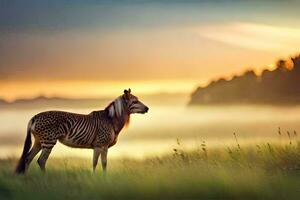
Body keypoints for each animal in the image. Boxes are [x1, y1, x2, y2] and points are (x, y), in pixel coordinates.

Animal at [15, 89, 149, 175]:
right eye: (135, 101)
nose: (147, 108)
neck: (111, 120)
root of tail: (34, 117)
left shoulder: (103, 146)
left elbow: (103, 163)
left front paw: (104, 179)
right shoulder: (100, 145)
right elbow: (96, 163)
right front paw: (95, 178)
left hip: (38, 141)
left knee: (28, 158)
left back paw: (27, 181)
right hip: (49, 141)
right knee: (41, 161)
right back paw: (45, 181)